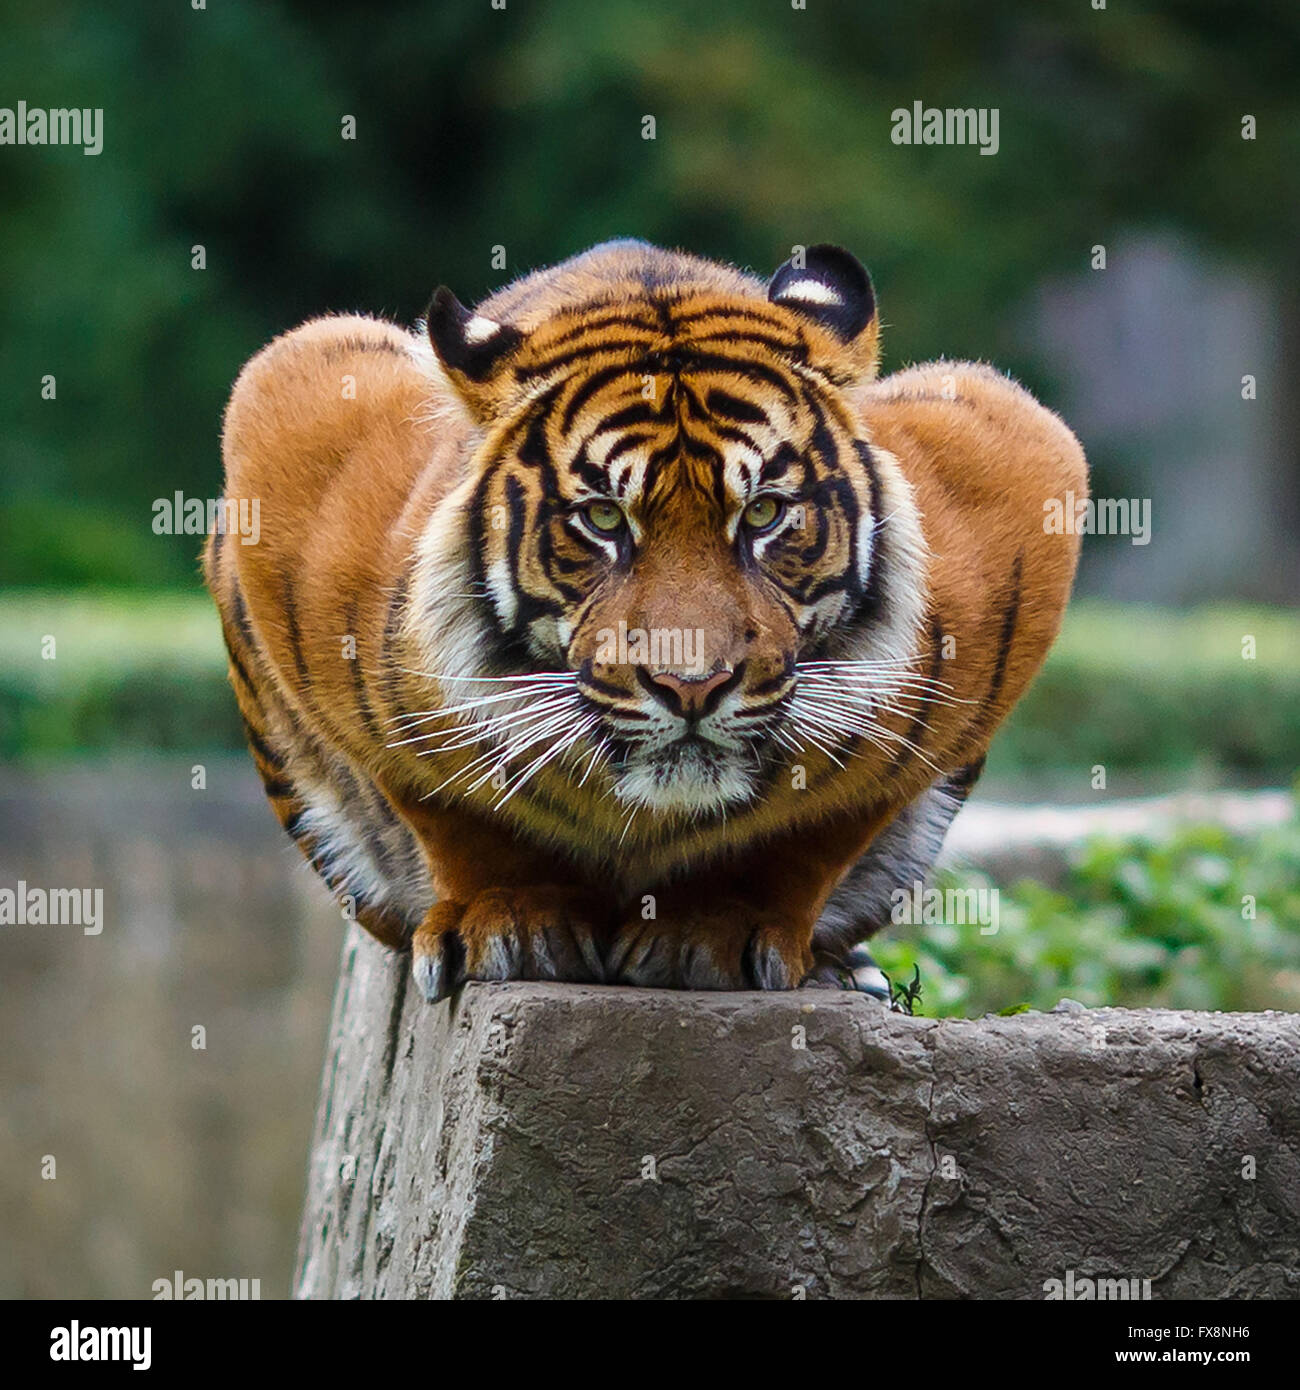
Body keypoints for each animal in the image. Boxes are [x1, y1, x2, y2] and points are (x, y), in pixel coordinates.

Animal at [205, 239, 1090, 1000]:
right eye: (603, 518)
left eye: (763, 513)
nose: (691, 687)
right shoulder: (294, 408)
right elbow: (445, 799)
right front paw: (511, 917)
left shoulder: (1020, 464)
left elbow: (818, 827)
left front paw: (714, 927)